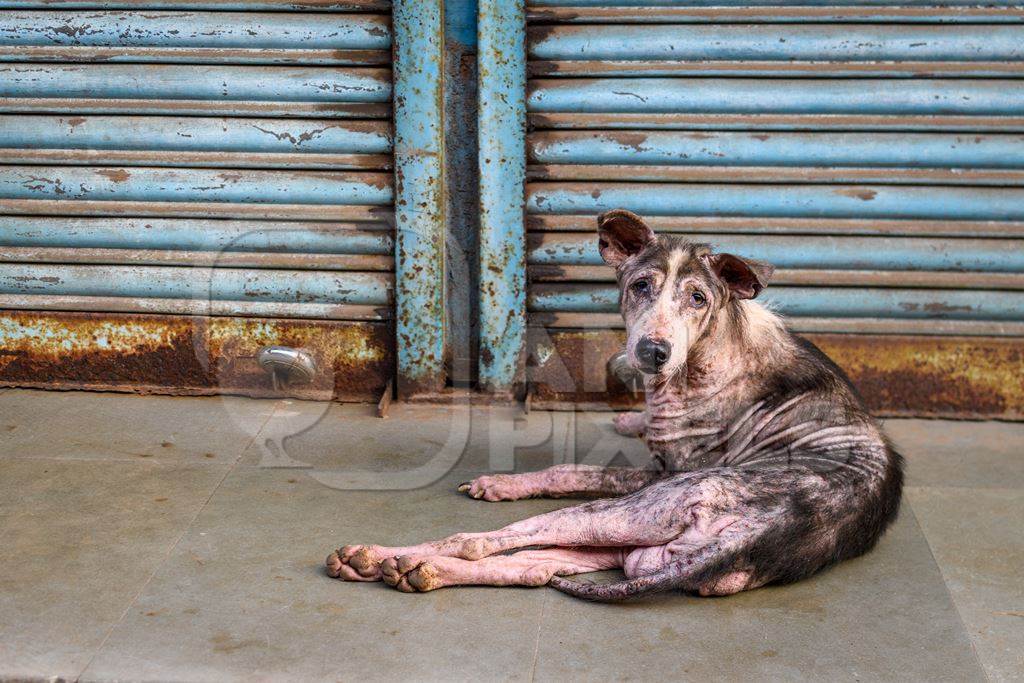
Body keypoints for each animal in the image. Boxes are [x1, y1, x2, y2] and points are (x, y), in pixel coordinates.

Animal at [323, 209, 901, 602]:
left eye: (699, 299)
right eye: (641, 285)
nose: (653, 352)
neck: (712, 345)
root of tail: (761, 536)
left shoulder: (663, 473)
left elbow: (567, 469)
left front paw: (507, 482)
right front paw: (627, 419)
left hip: (637, 508)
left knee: (484, 542)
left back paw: (391, 556)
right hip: (633, 547)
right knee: (535, 567)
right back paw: (396, 568)